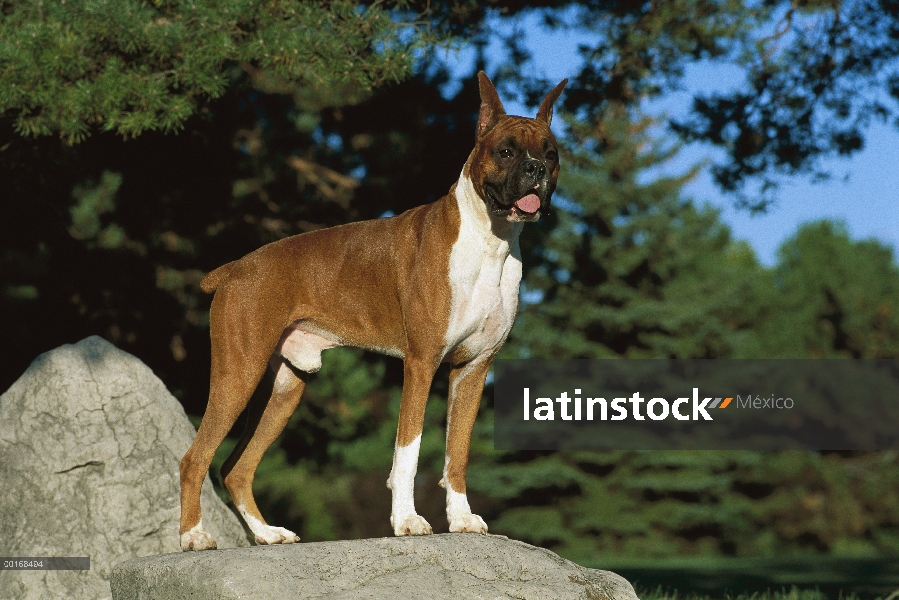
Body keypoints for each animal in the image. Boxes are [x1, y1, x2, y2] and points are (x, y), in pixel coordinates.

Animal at [179, 70, 568, 548]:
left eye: (550, 154)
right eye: (507, 151)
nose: (535, 170)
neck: (490, 241)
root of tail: (234, 268)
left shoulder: (473, 370)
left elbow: (457, 452)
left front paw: (461, 519)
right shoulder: (421, 364)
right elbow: (408, 450)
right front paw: (407, 521)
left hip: (285, 388)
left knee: (237, 467)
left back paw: (267, 533)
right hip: (239, 374)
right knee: (195, 458)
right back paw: (193, 537)